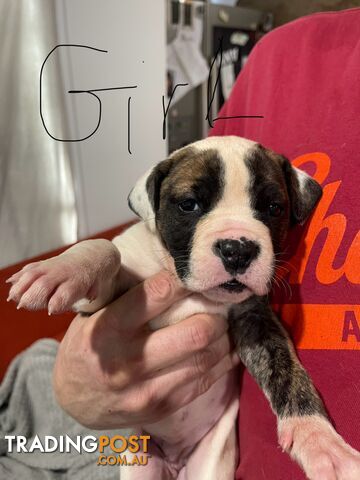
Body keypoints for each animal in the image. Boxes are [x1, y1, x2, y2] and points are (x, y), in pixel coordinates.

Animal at [7, 136, 360, 480]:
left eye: (273, 208)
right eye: (190, 204)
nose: (237, 249)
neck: (194, 291)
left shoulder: (255, 320)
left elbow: (286, 373)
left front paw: (319, 439)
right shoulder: (101, 302)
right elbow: (105, 248)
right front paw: (59, 269)